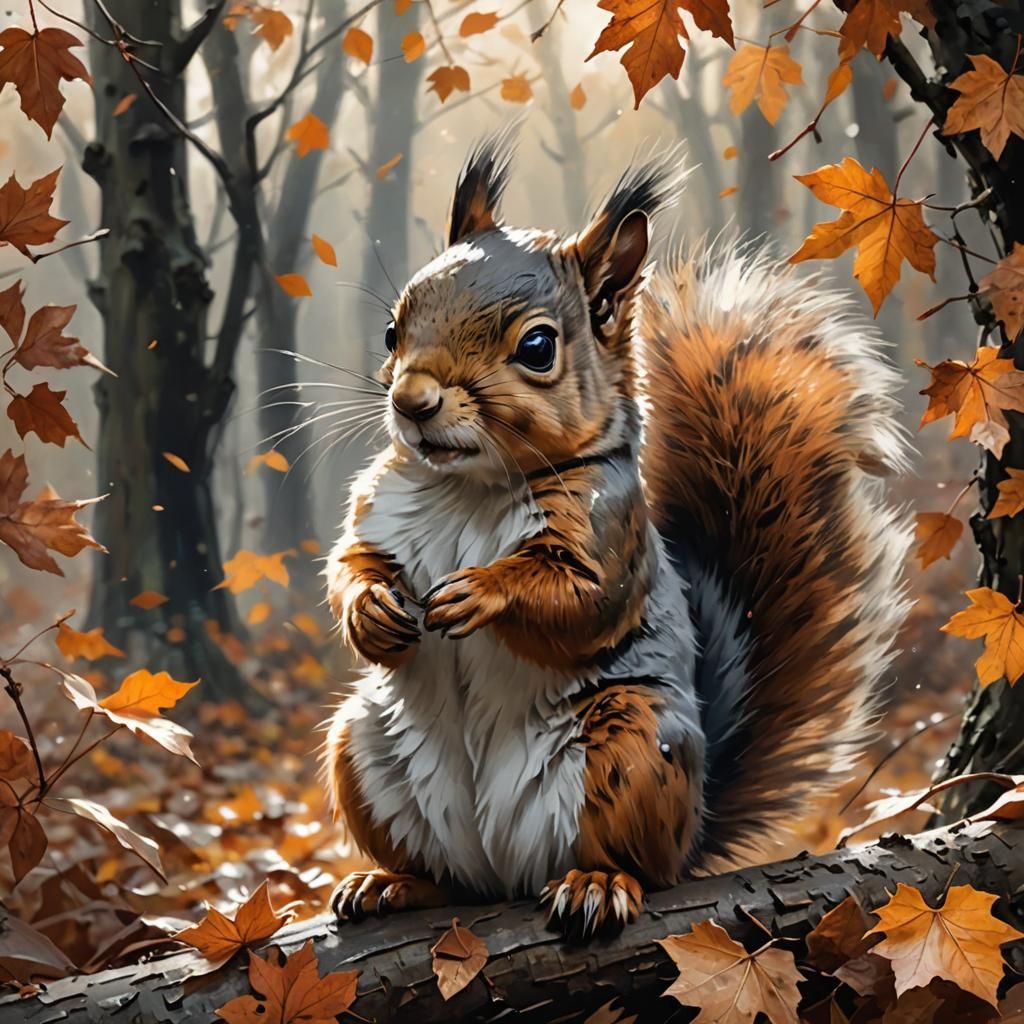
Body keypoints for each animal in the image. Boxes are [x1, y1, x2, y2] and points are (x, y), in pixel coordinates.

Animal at [323, 130, 911, 940]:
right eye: (392, 329)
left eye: (538, 348)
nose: (411, 401)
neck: (469, 489)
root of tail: (503, 867)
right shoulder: (376, 510)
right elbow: (350, 565)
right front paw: (373, 610)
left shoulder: (611, 535)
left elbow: (579, 600)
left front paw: (479, 592)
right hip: (364, 749)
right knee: (447, 880)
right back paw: (391, 883)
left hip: (631, 749)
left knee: (638, 864)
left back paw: (598, 883)